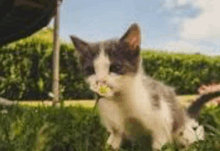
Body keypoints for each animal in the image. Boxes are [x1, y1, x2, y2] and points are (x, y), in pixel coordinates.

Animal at [69, 23, 220, 150]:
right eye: (90, 70)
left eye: (115, 67)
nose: (100, 81)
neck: (121, 101)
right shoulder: (114, 126)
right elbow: (114, 140)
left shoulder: (161, 118)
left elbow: (160, 143)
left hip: (183, 129)